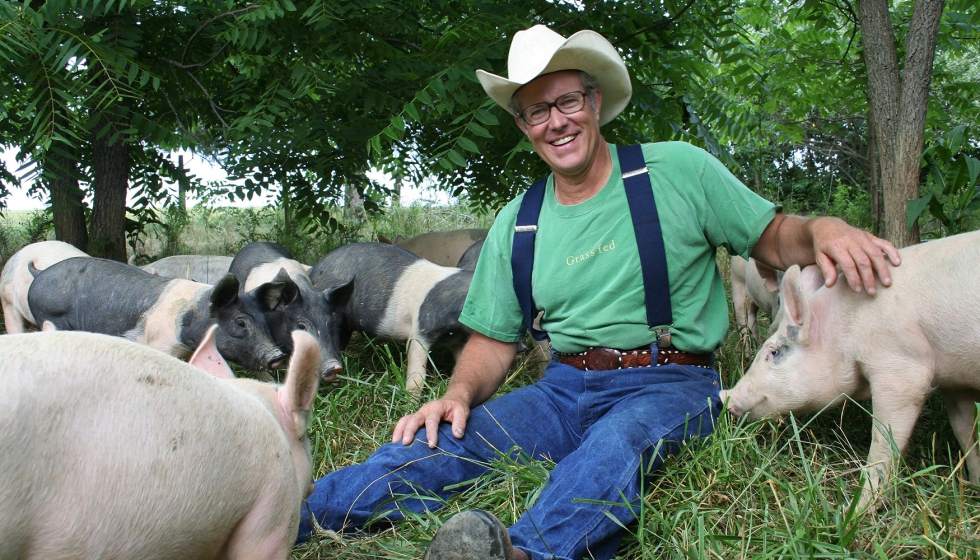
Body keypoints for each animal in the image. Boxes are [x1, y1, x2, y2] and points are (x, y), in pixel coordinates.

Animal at [25, 258, 288, 374]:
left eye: (264, 321)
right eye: (240, 322)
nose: (278, 356)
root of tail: (39, 274)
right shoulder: (161, 345)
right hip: (49, 316)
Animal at [716, 230, 980, 510]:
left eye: (774, 352)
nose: (724, 394)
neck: (844, 331)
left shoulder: (903, 368)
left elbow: (884, 441)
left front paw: (850, 510)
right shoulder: (955, 383)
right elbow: (965, 430)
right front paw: (975, 486)